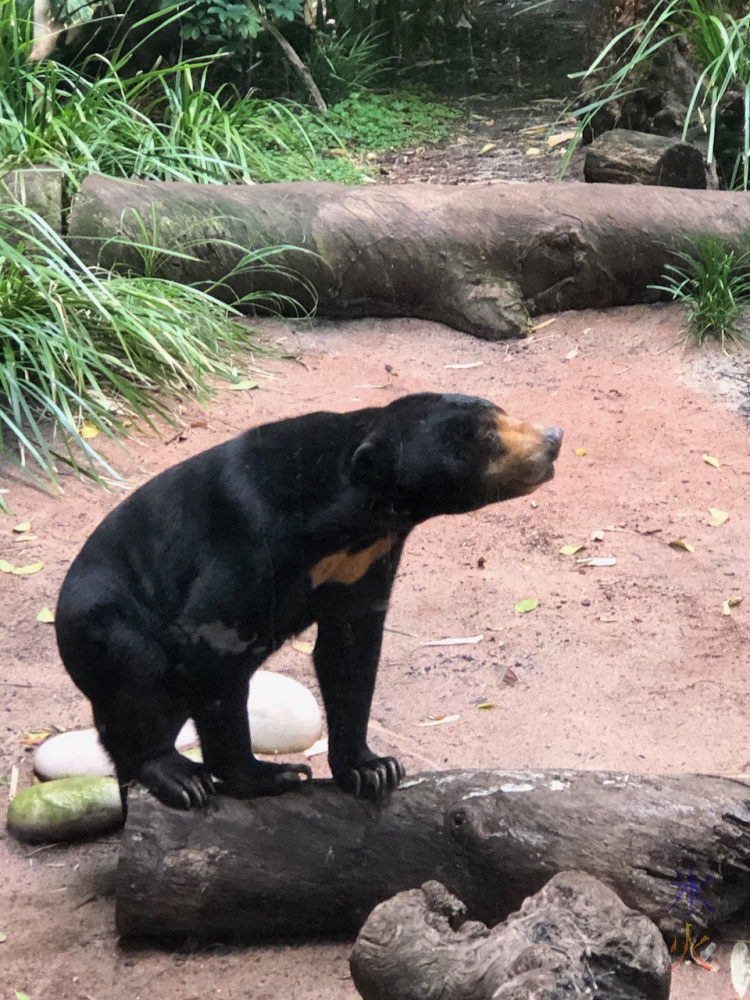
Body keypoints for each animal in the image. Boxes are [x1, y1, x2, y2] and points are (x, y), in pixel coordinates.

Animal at [55, 392, 560, 812]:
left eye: (500, 412)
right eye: (488, 438)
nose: (553, 439)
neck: (352, 517)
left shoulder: (366, 560)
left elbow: (350, 650)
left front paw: (372, 769)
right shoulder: (248, 543)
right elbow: (212, 643)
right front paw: (270, 775)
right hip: (104, 622)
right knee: (138, 672)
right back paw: (177, 775)